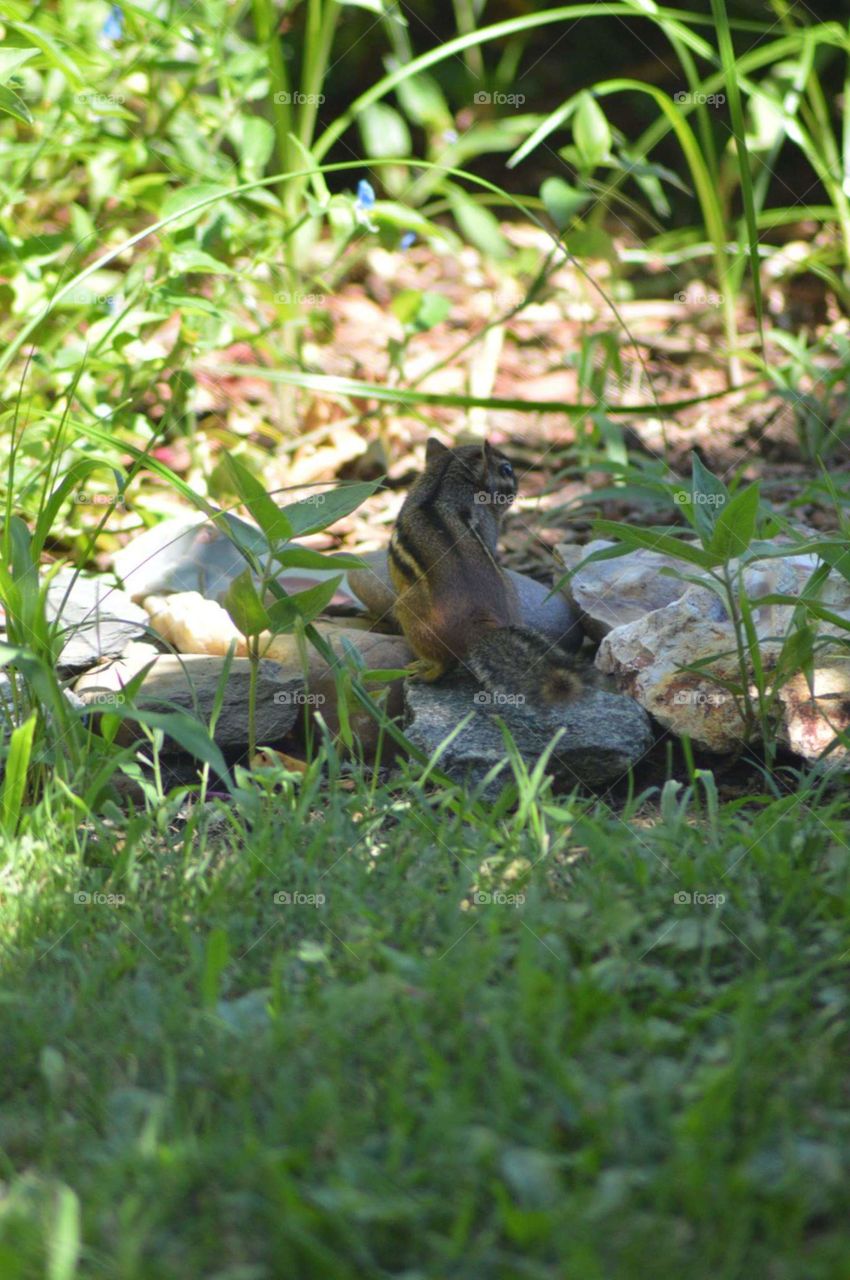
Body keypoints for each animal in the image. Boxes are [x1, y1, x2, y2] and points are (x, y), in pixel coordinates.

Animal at [388, 437, 582, 704]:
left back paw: (424, 673)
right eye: (507, 469)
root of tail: (480, 630)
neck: (442, 480)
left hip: (406, 610)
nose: (519, 485)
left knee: (445, 663)